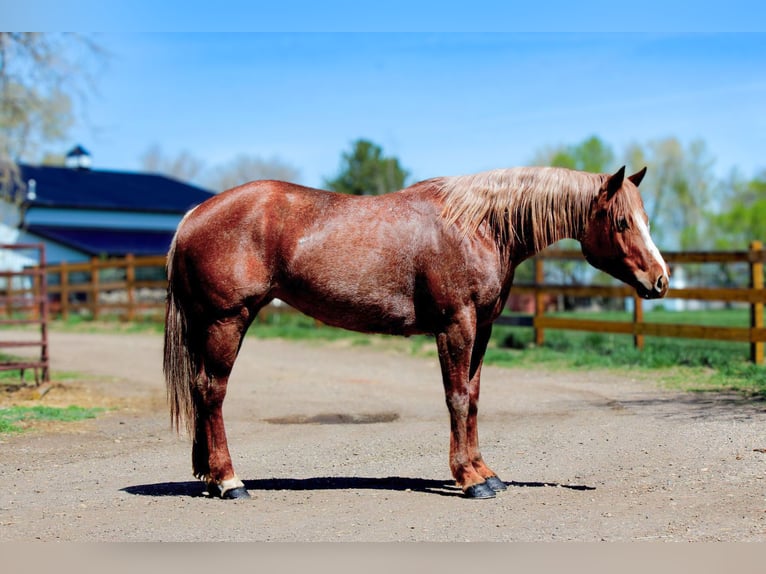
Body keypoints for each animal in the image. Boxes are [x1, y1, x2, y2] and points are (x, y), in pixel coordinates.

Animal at [163, 165, 669, 500]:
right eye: (622, 221)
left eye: (646, 220)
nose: (660, 280)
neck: (479, 226)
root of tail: (192, 215)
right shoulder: (456, 324)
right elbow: (456, 399)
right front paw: (469, 479)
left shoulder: (482, 327)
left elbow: (474, 399)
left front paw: (486, 472)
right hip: (228, 320)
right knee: (212, 392)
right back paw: (230, 481)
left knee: (203, 392)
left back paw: (210, 476)